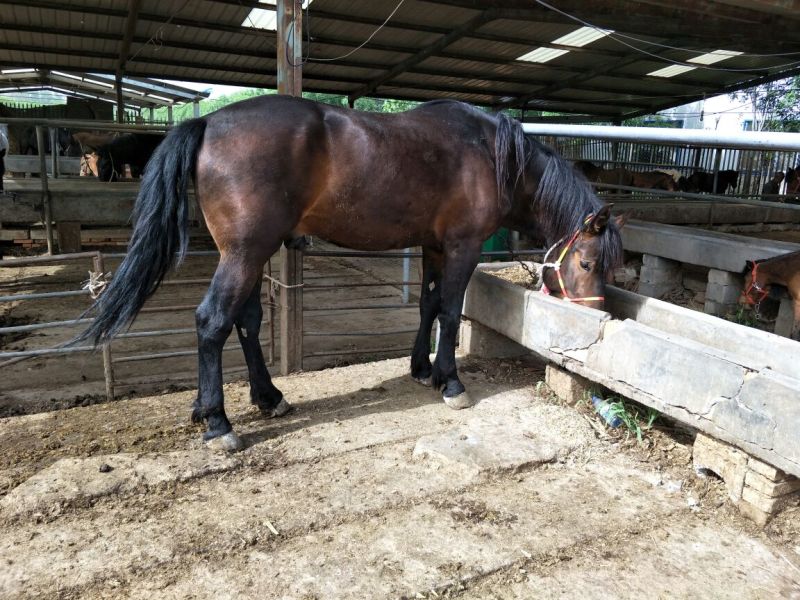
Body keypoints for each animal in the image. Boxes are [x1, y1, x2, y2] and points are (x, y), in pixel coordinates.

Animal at [77, 96, 624, 451]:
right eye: (587, 263)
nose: (600, 317)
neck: (490, 154)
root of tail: (208, 122)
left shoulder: (433, 246)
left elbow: (427, 305)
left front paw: (421, 369)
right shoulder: (462, 248)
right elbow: (449, 311)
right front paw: (450, 382)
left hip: (247, 254)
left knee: (245, 322)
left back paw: (265, 398)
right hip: (246, 253)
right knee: (212, 321)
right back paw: (218, 423)